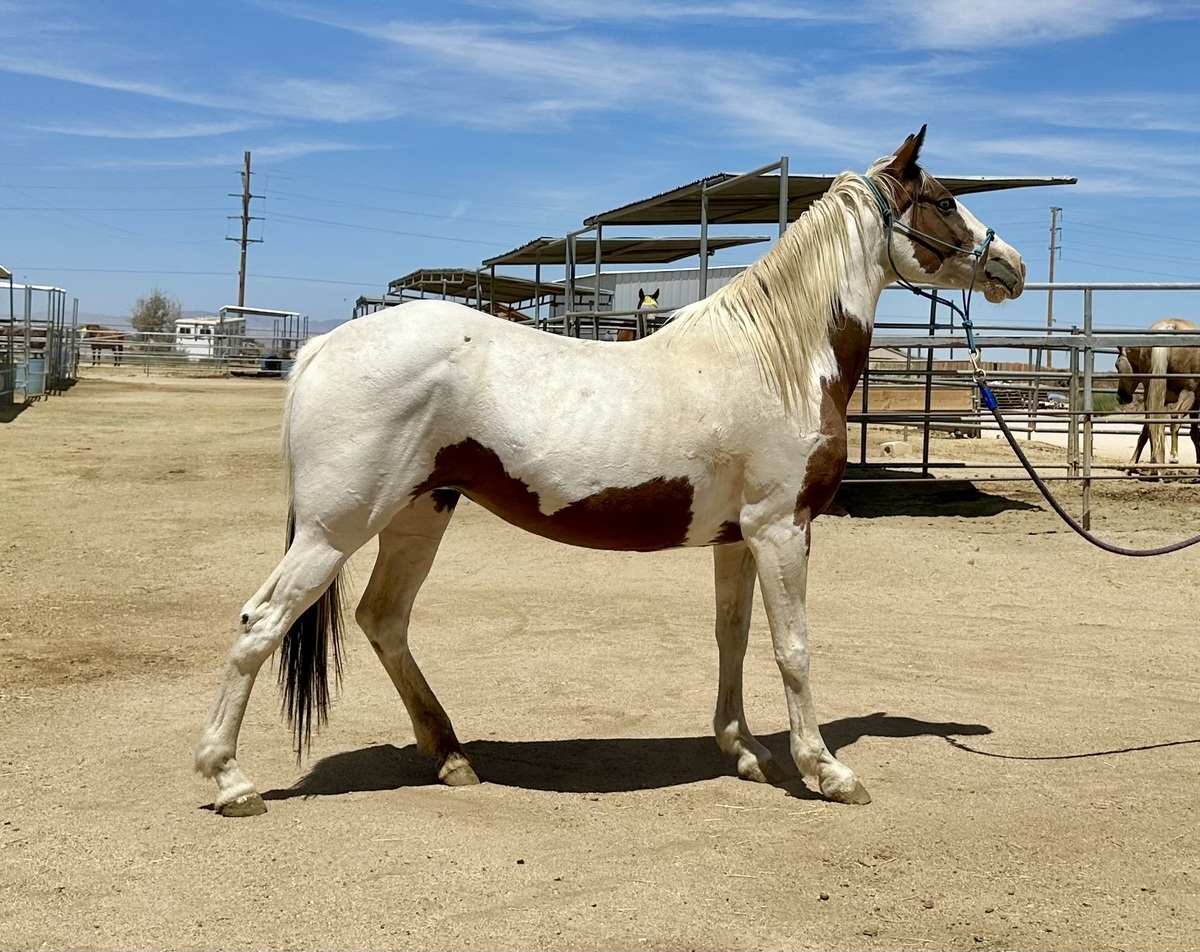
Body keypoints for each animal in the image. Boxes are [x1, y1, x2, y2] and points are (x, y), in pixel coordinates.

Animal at [196, 127, 1026, 817]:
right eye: (945, 200)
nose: (1011, 267)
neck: (777, 359)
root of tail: (320, 349)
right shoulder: (781, 530)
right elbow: (793, 649)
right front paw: (826, 771)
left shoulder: (739, 538)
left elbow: (732, 637)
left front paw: (745, 751)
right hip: (336, 529)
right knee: (261, 622)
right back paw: (231, 780)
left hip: (418, 513)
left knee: (383, 621)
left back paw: (452, 757)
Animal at [1115, 318, 1200, 469]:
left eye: (1117, 365)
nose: (1120, 396)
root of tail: (1170, 325)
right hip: (1187, 393)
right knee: (1175, 418)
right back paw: (1173, 457)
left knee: (1150, 426)